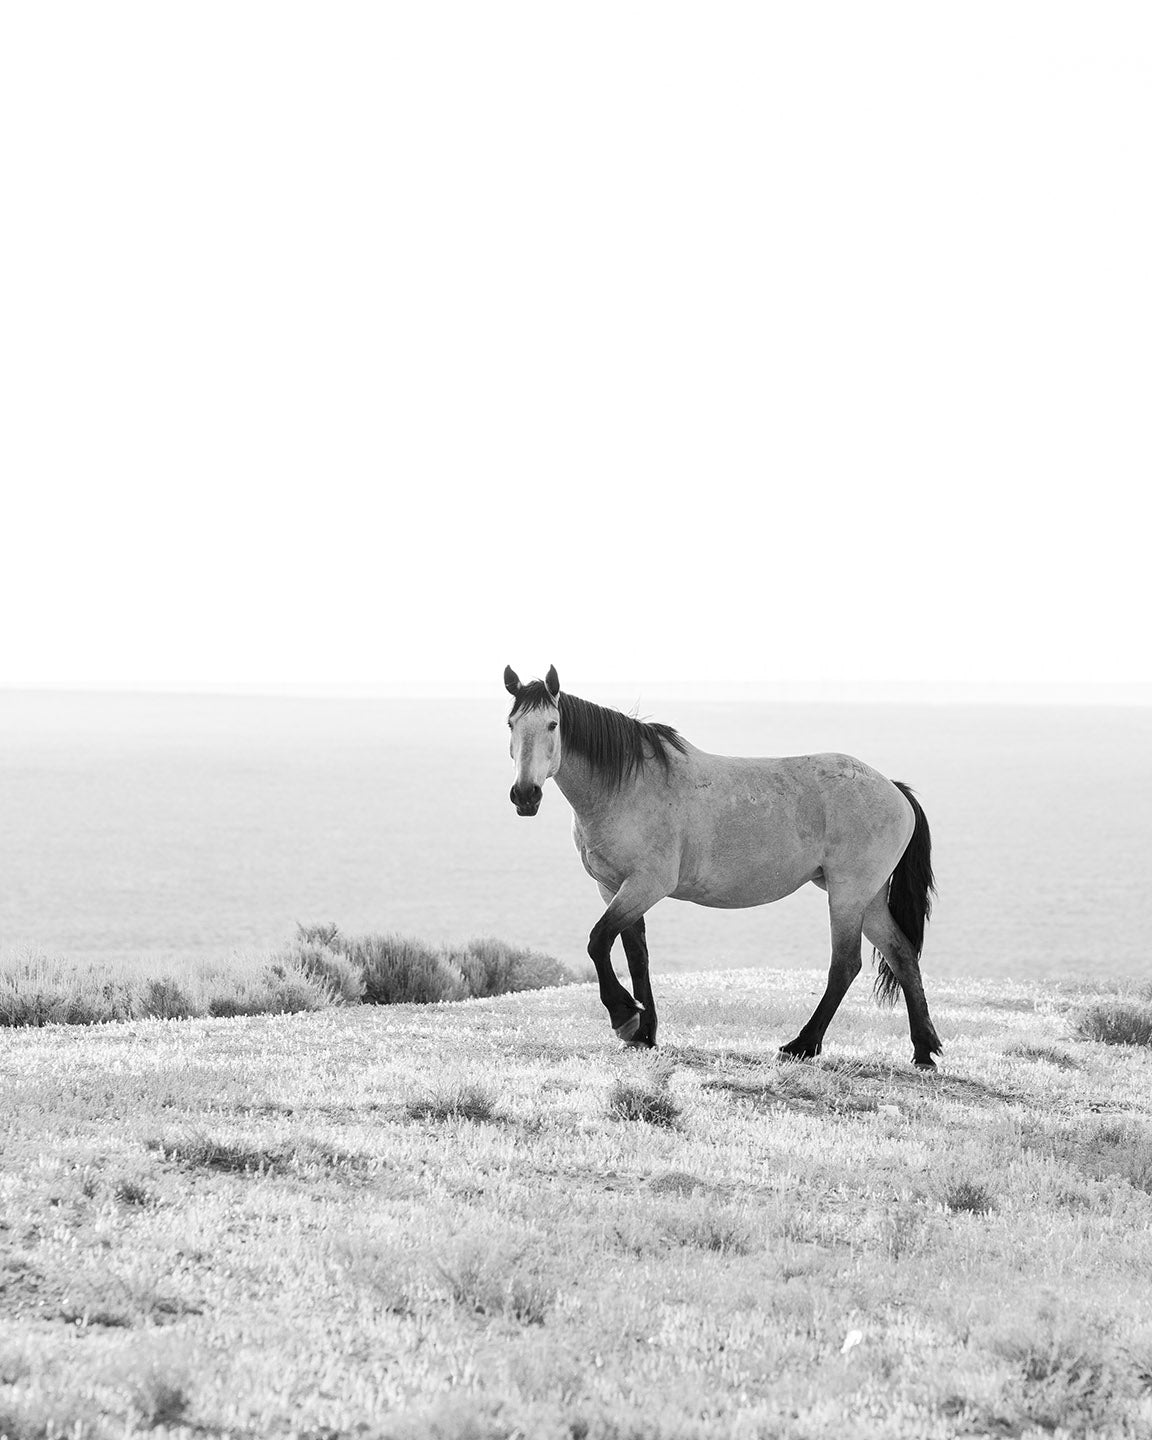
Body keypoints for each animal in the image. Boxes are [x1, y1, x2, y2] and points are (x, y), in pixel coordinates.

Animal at [506, 665, 944, 1071]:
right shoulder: (613, 887)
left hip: (848, 894)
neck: (629, 786)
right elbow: (636, 956)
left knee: (846, 964)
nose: (525, 795)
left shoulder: (646, 885)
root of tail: (894, 790)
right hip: (868, 897)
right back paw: (924, 1050)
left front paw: (625, 1017)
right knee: (902, 954)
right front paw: (645, 1032)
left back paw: (802, 1045)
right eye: (511, 724)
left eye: (552, 724)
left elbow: (598, 941)